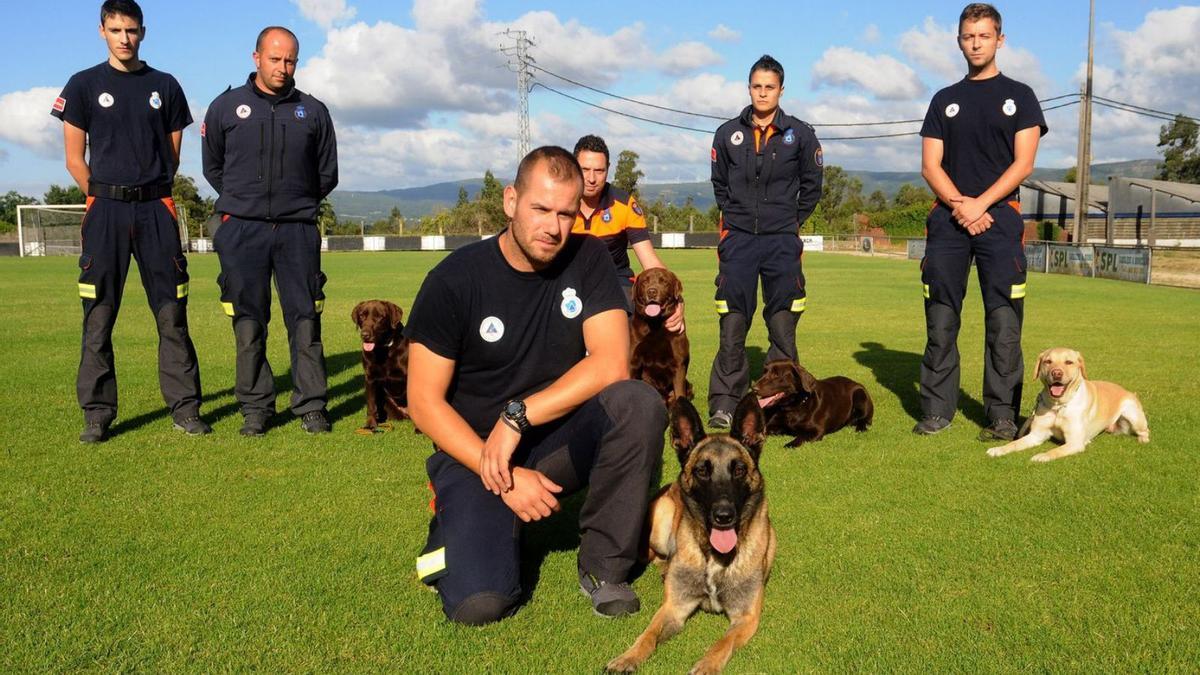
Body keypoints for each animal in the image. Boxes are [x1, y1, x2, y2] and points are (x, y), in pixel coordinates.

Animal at [350, 297, 412, 429]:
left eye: (380, 317)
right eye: (362, 315)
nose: (365, 335)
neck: (383, 350)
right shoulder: (370, 379)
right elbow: (370, 405)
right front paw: (370, 424)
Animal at [600, 391, 777, 667]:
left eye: (739, 469)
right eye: (702, 470)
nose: (723, 516)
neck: (714, 555)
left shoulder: (746, 617)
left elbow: (722, 643)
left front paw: (707, 666)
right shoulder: (674, 608)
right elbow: (648, 634)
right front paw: (628, 657)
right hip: (662, 520)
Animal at [628, 266, 696, 403]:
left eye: (664, 281)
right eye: (645, 281)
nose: (652, 292)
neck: (656, 324)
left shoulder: (678, 364)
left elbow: (680, 393)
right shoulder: (634, 362)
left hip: (689, 386)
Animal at [984, 345, 1152, 461]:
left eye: (1069, 362)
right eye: (1048, 361)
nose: (1056, 373)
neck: (1058, 405)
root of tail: (1128, 391)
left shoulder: (1075, 442)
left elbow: (1055, 451)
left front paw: (1042, 455)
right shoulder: (1037, 435)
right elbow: (1014, 444)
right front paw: (998, 449)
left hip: (1133, 415)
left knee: (1145, 430)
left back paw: (1143, 439)